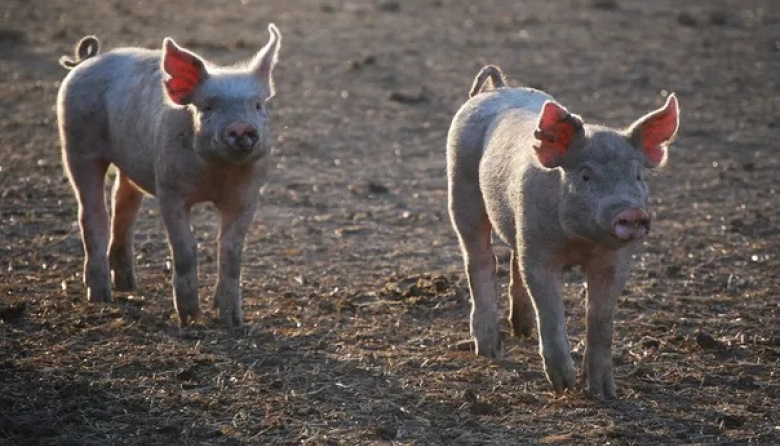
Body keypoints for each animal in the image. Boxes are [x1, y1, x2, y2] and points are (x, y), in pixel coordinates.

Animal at [56, 25, 282, 328]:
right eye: (208, 107)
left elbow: (231, 252)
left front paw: (232, 321)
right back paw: (101, 297)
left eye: (258, 105)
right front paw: (189, 318)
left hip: (128, 162)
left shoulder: (246, 196)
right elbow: (185, 248)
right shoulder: (170, 191)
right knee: (92, 215)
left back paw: (128, 286)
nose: (241, 127)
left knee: (123, 205)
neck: (217, 174)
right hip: (77, 146)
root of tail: (88, 60)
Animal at [447, 65, 679, 399]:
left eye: (637, 176)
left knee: (512, 258)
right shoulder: (539, 253)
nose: (631, 212)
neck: (581, 242)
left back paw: (523, 330)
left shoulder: (615, 261)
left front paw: (604, 393)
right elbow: (550, 310)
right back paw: (490, 351)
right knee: (479, 260)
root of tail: (498, 88)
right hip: (461, 189)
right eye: (585, 175)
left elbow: (600, 321)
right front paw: (564, 386)